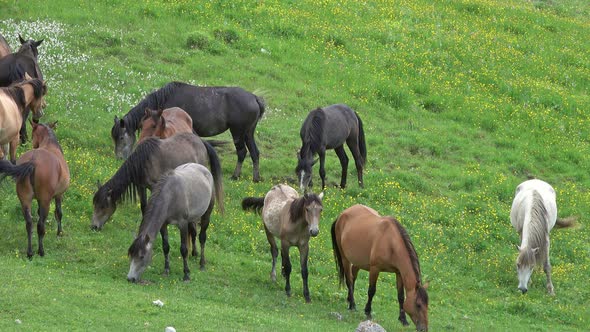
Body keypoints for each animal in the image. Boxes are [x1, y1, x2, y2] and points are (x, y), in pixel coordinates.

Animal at [0, 120, 70, 258]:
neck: (50, 144)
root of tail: (33, 161)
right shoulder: (58, 195)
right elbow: (58, 213)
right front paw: (59, 232)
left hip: (25, 200)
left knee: (29, 224)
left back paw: (30, 252)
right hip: (45, 201)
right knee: (40, 225)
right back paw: (41, 251)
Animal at [92, 132, 224, 233]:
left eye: (103, 206)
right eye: (94, 204)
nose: (94, 226)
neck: (143, 161)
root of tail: (201, 142)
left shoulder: (154, 187)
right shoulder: (141, 187)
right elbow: (144, 207)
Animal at [110, 82, 266, 182]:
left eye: (121, 137)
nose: (118, 157)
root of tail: (254, 98)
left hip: (238, 132)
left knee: (242, 152)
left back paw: (235, 176)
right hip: (248, 133)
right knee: (254, 152)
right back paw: (256, 178)